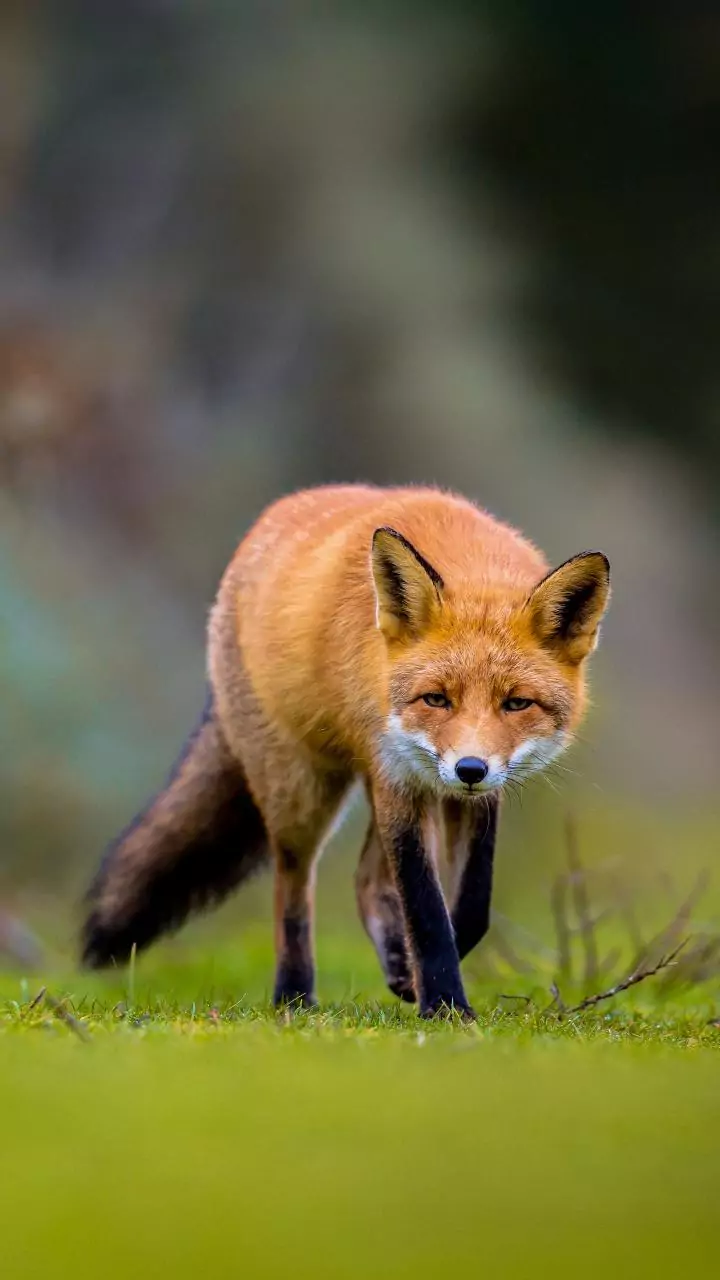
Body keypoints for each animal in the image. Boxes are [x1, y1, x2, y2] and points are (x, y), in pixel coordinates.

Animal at [81, 484, 610, 1019]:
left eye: (517, 703)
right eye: (436, 699)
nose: (470, 769)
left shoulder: (471, 796)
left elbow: (472, 906)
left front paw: (419, 978)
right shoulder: (398, 775)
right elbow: (426, 910)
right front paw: (445, 1004)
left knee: (365, 880)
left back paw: (392, 967)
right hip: (302, 792)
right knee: (292, 885)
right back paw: (294, 995)